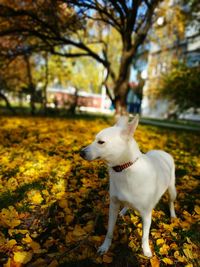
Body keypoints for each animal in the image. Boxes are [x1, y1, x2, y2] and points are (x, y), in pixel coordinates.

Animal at [80, 116, 177, 258]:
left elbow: (145, 236)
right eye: (94, 139)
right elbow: (109, 231)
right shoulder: (113, 205)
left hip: (172, 190)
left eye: (101, 142)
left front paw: (146, 250)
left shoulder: (147, 215)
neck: (125, 168)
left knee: (170, 202)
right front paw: (105, 246)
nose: (80, 152)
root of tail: (163, 152)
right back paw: (124, 211)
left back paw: (173, 215)